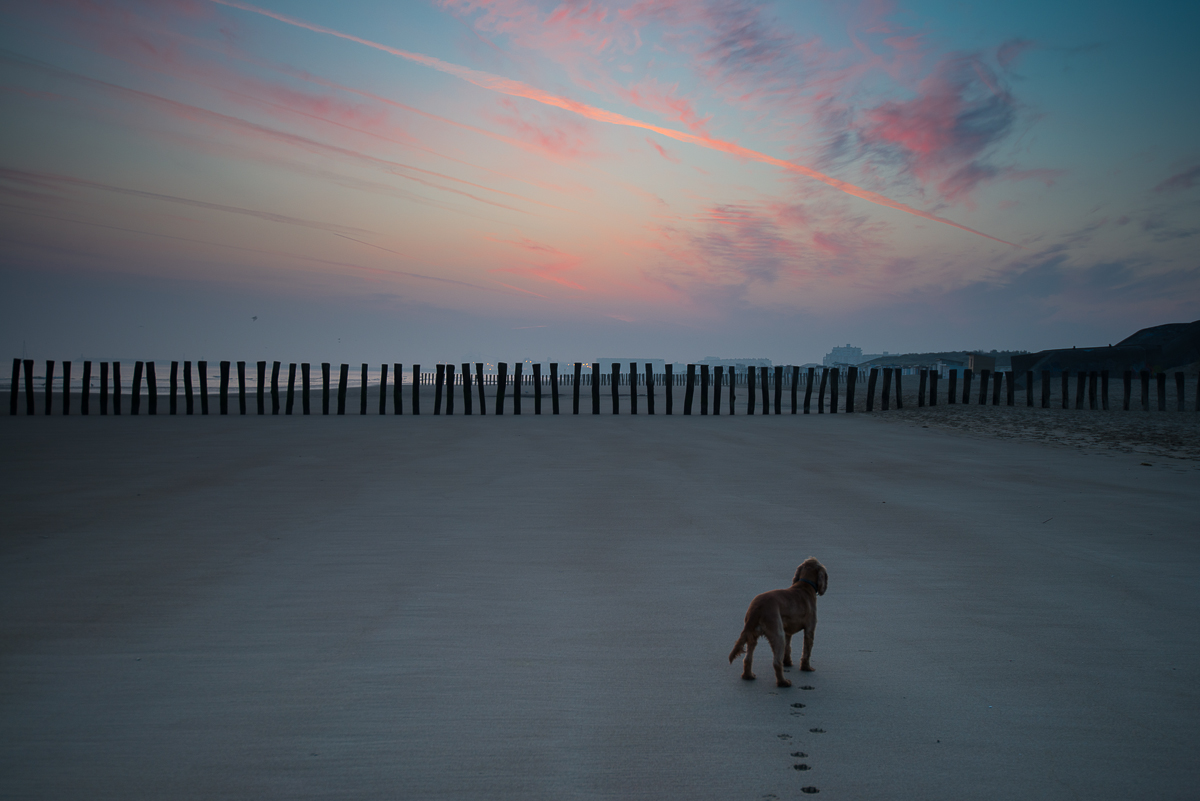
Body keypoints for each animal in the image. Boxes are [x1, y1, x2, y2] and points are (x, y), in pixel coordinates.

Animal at [724, 556, 830, 690]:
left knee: (748, 658)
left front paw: (788, 662)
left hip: (752, 634)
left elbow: (788, 648)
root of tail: (757, 607)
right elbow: (806, 651)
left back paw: (748, 676)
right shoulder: (809, 630)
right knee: (776, 662)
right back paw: (783, 682)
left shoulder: (787, 631)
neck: (805, 585)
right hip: (777, 634)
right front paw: (806, 668)